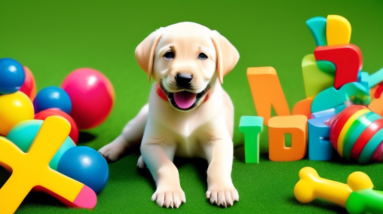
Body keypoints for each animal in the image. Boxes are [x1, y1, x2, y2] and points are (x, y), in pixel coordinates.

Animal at [100, 22, 242, 208]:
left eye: (202, 56)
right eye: (168, 54)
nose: (184, 78)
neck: (187, 113)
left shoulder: (219, 139)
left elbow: (217, 166)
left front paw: (222, 189)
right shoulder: (155, 143)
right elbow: (168, 167)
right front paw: (170, 192)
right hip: (140, 122)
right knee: (126, 137)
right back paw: (111, 150)